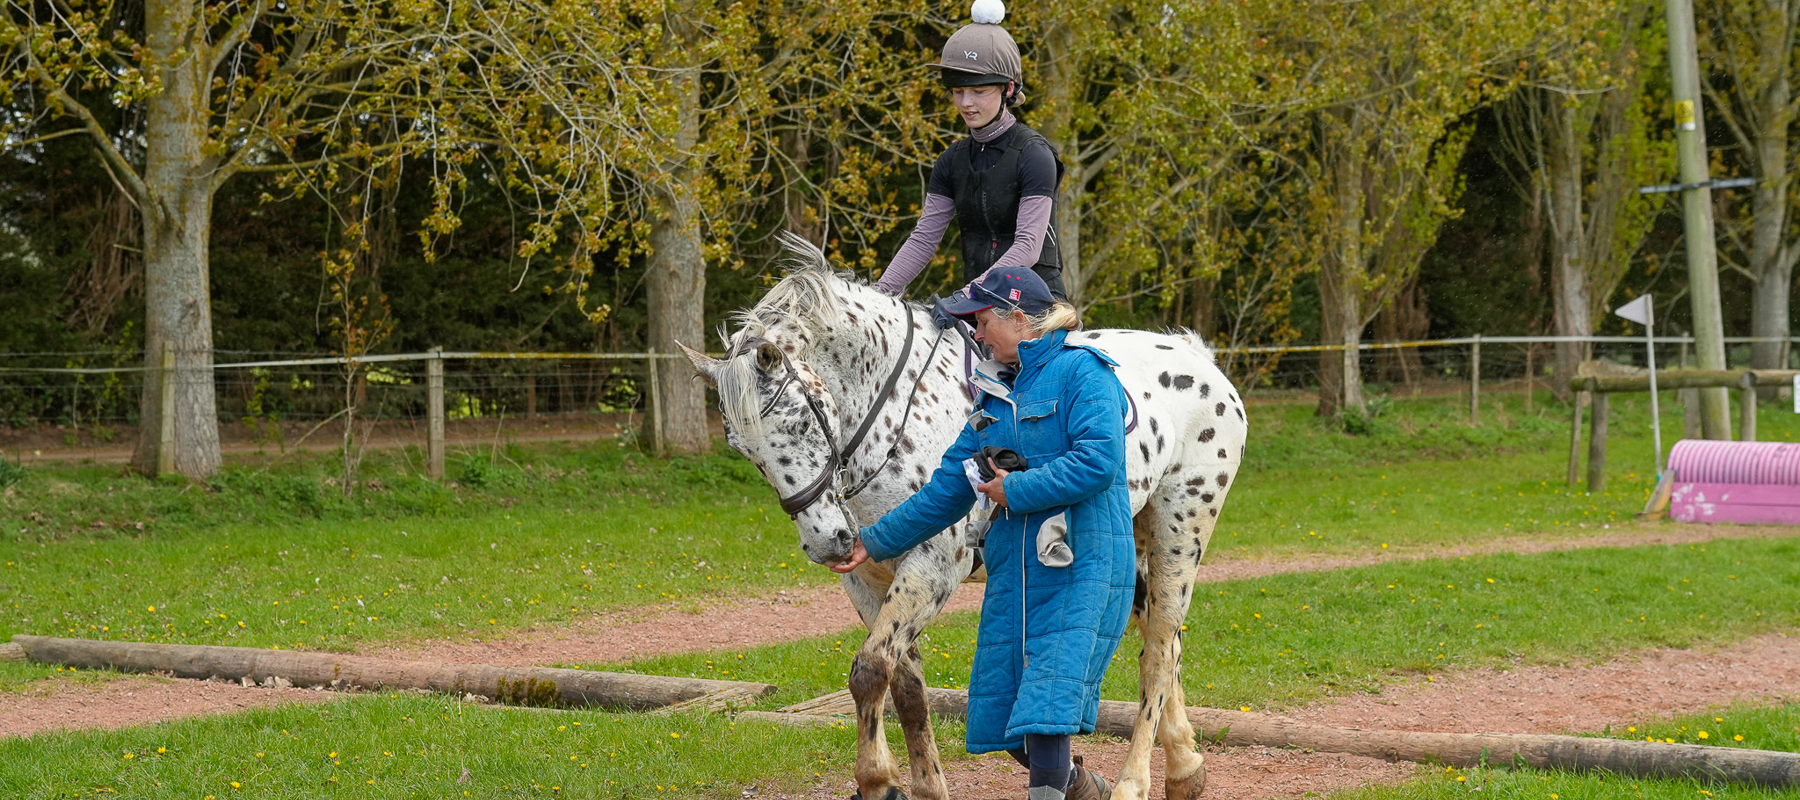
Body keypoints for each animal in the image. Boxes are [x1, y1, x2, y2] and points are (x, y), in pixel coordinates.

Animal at [680, 236, 1246, 800]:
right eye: (742, 448)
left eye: (800, 421)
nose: (827, 543)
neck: (890, 412)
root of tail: (1198, 357)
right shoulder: (867, 579)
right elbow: (904, 686)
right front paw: (921, 784)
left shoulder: (932, 567)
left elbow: (871, 670)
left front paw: (878, 780)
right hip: (1131, 542)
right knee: (1161, 641)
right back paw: (1184, 765)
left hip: (1182, 531)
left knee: (1159, 649)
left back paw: (1133, 781)